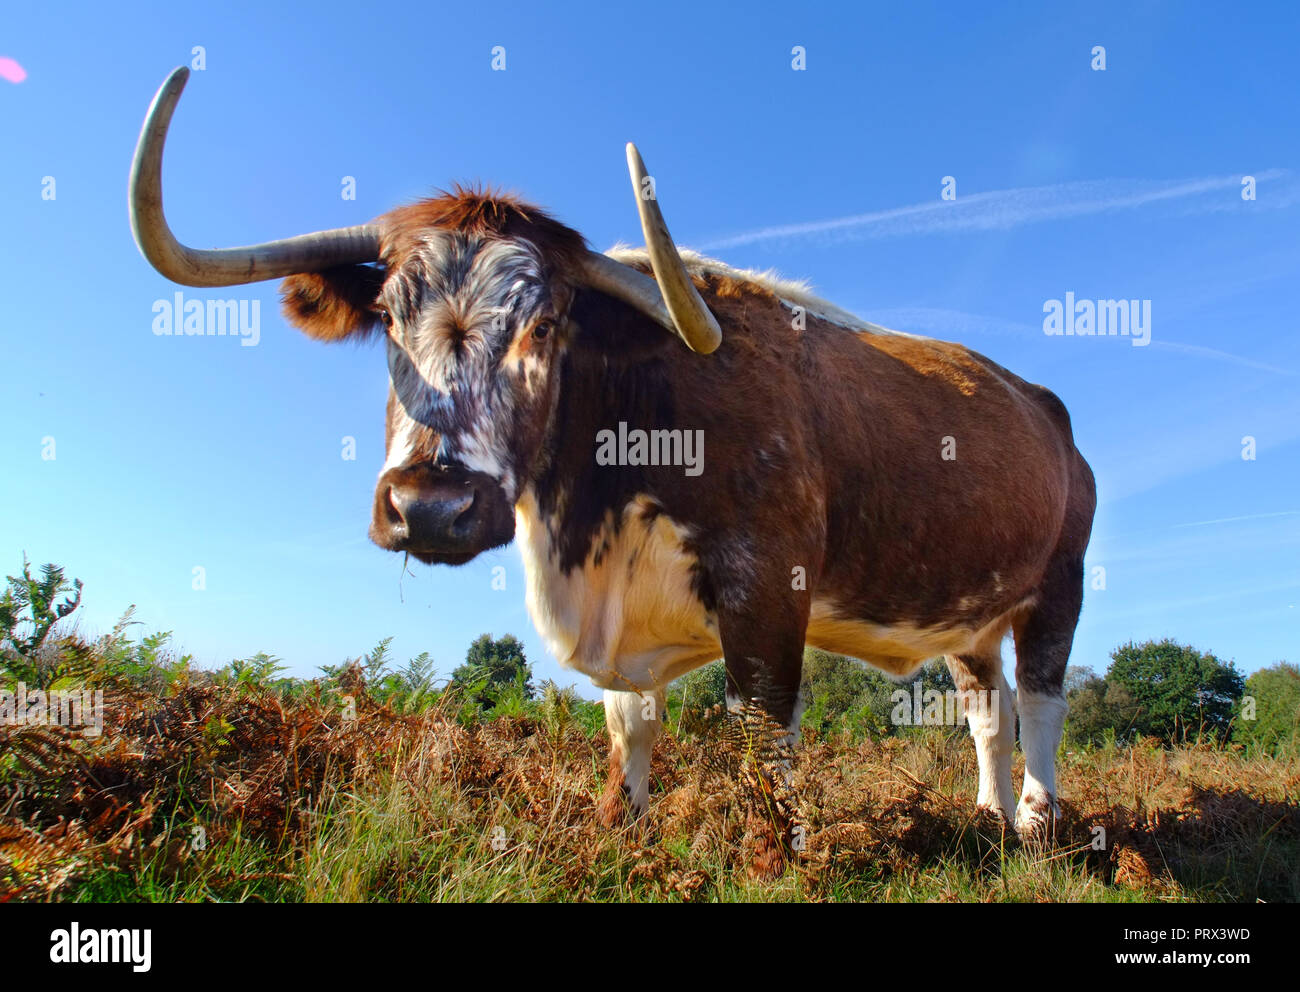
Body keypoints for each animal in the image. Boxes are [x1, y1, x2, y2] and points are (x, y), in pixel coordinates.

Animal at [129, 67, 1097, 868]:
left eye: (547, 324)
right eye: (387, 315)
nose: (432, 505)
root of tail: (1045, 407)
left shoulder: (766, 589)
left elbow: (764, 734)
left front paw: (773, 857)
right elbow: (629, 726)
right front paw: (618, 832)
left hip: (1059, 583)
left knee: (1042, 702)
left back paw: (1039, 826)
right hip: (969, 611)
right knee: (987, 711)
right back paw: (989, 819)